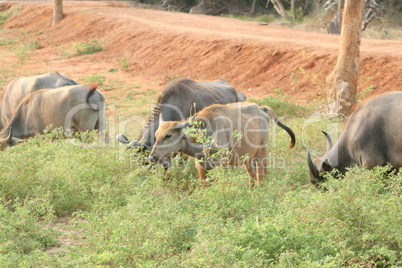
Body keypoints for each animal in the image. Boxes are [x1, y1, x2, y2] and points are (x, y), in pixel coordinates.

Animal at [148, 101, 296, 185]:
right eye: (156, 135)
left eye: (168, 135)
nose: (152, 157)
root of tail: (260, 108)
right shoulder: (201, 168)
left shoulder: (221, 166)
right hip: (248, 159)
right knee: (252, 176)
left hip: (262, 152)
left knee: (262, 175)